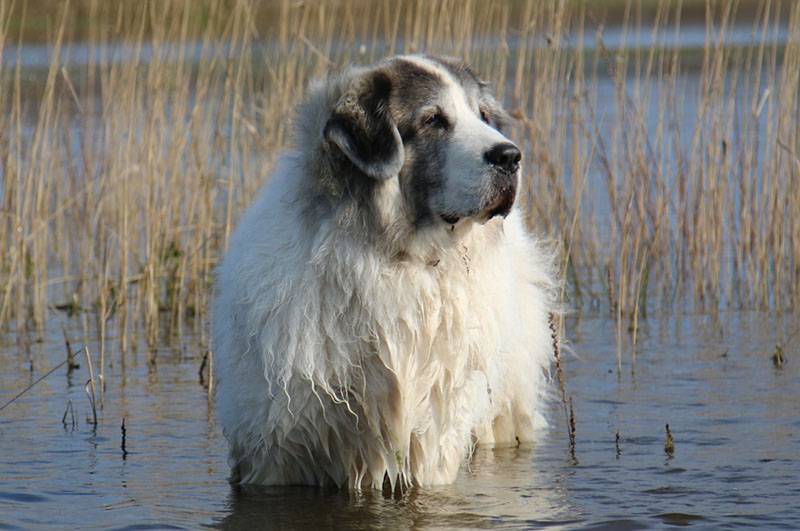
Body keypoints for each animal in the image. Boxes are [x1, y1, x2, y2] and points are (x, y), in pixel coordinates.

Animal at [216, 54, 560, 490]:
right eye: (434, 120)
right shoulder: (277, 452)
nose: (510, 155)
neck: (398, 257)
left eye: (483, 115)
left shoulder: (430, 439)